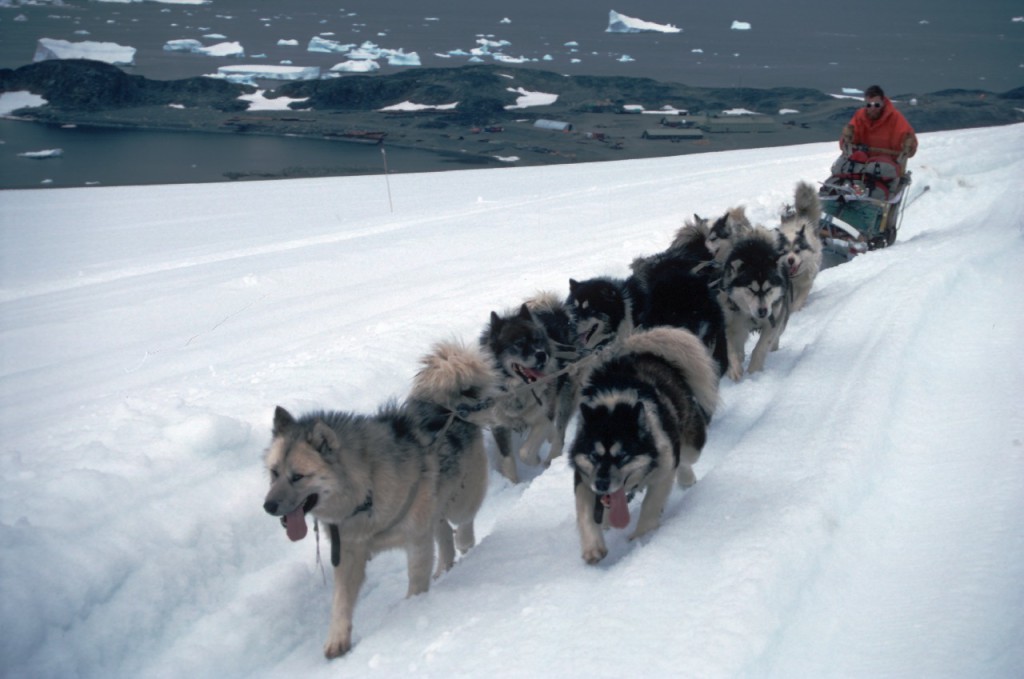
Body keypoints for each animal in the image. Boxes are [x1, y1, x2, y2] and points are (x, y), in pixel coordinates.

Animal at [479, 292, 577, 483]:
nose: (542, 355)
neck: (518, 391)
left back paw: (551, 458)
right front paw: (512, 483)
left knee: (559, 432)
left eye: (537, 340)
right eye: (518, 343)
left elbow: (524, 452)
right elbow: (508, 460)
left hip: (566, 395)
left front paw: (536, 459)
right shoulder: (499, 425)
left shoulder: (542, 416)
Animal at [569, 327, 720, 565]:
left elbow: (651, 505)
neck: (615, 405)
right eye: (594, 456)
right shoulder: (584, 476)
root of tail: (642, 353)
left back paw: (686, 479)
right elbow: (585, 511)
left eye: (622, 456)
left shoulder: (664, 470)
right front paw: (593, 547)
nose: (601, 485)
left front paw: (641, 538)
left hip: (691, 444)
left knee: (685, 460)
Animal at [720, 225, 790, 378]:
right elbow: (729, 347)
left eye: (769, 288)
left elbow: (761, 347)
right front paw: (734, 368)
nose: (763, 311)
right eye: (751, 289)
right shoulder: (728, 321)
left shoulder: (773, 320)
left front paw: (754, 372)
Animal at [774, 178, 823, 311]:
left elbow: (798, 301)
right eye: (784, 252)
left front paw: (795, 310)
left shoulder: (805, 284)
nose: (790, 260)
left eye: (797, 251)